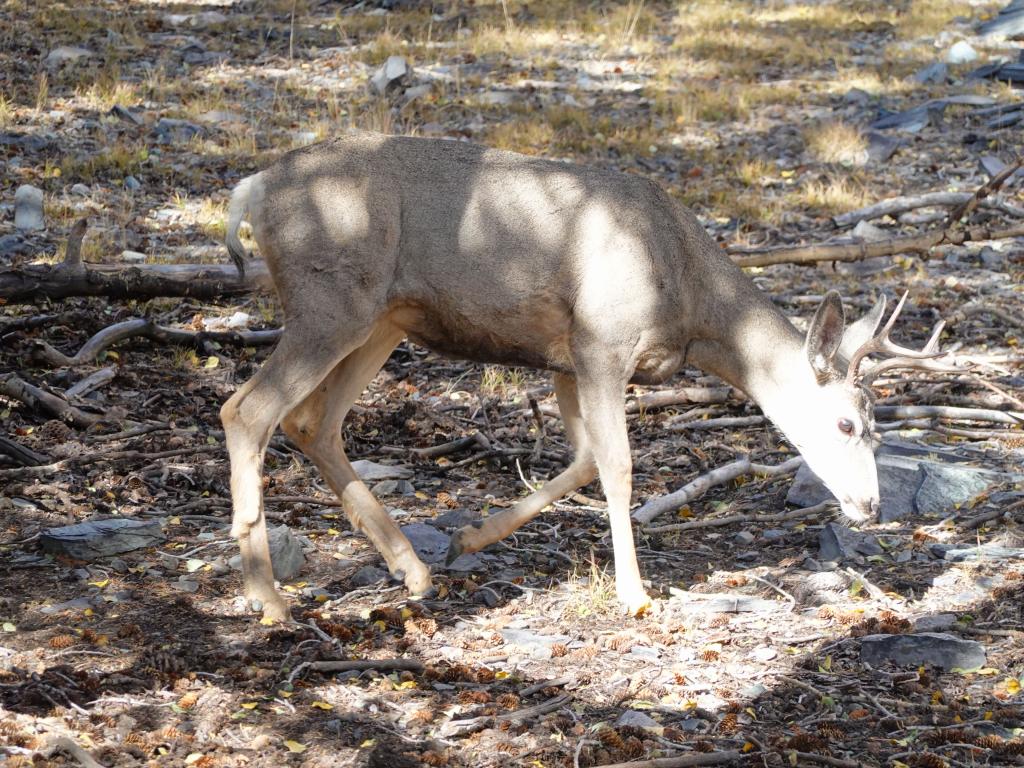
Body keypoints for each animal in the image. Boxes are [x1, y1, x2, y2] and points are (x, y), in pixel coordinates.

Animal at [220, 134, 946, 626]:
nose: (870, 507)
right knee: (247, 410)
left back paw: (414, 570)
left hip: (383, 318)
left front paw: (471, 535)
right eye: (845, 422)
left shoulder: (567, 358)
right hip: (331, 301)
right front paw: (634, 593)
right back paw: (267, 598)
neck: (687, 293)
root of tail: (250, 188)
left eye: (879, 433)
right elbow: (618, 465)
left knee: (312, 421)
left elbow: (583, 459)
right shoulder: (601, 339)